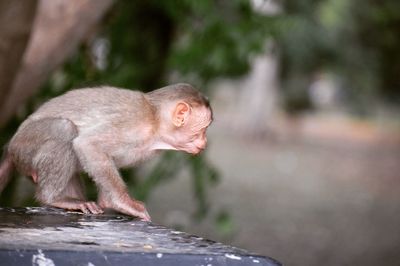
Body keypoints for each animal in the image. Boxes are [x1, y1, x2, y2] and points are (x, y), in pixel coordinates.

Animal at [0, 83, 212, 220]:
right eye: (203, 129)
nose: (205, 141)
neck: (156, 125)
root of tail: (11, 145)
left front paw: (107, 202)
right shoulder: (133, 125)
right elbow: (89, 144)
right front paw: (122, 203)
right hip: (26, 147)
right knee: (64, 129)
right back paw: (53, 198)